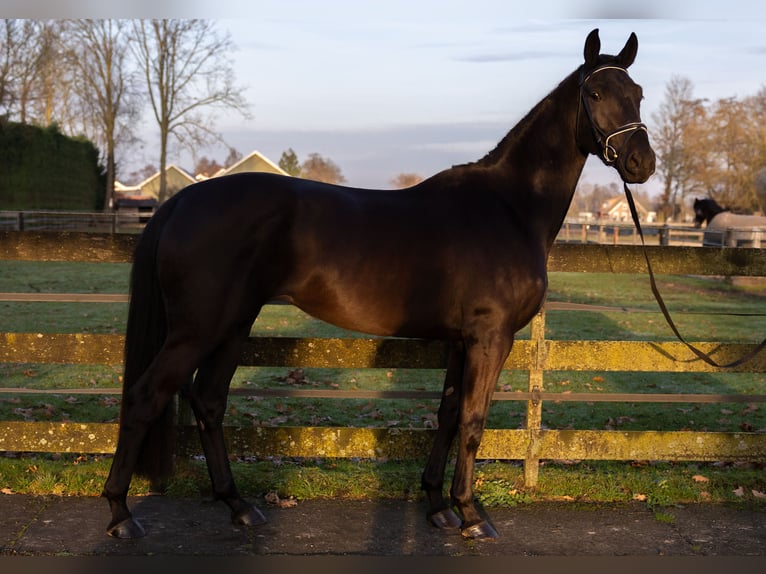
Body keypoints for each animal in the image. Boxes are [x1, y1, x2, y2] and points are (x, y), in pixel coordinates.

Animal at [103, 29, 655, 541]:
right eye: (596, 94)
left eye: (639, 93)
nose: (641, 163)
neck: (509, 208)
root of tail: (181, 200)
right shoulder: (491, 337)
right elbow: (473, 420)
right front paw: (472, 515)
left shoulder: (461, 341)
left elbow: (448, 413)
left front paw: (437, 506)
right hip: (198, 329)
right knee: (146, 396)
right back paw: (121, 513)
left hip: (234, 324)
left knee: (209, 401)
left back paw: (238, 506)